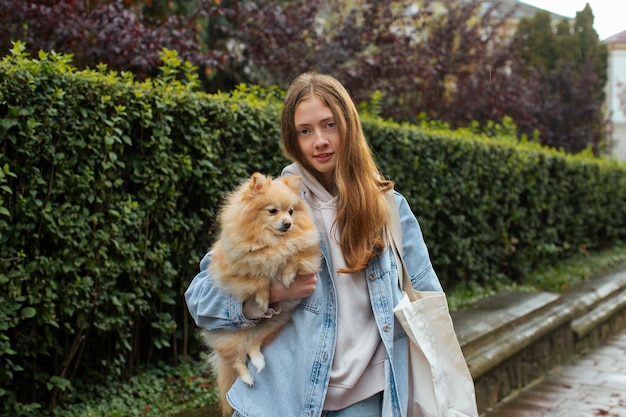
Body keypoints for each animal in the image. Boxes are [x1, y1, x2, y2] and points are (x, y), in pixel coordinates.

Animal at [202, 171, 320, 414]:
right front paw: (264, 299)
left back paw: (258, 361)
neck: (271, 242)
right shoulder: (233, 270)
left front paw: (286, 275)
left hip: (274, 326)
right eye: (272, 210)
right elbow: (260, 279)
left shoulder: (307, 255)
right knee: (237, 360)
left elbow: (292, 256)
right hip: (230, 338)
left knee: (253, 346)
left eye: (291, 211)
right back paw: (247, 377)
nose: (288, 223)